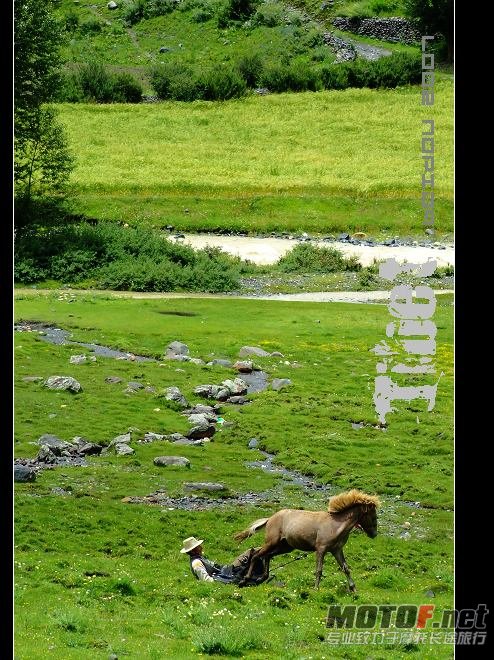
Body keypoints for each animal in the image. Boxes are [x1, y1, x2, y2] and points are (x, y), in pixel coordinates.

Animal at [233, 488, 380, 592]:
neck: (335, 525)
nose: (374, 534)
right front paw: (315, 589)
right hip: (272, 543)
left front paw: (354, 589)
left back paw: (262, 578)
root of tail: (270, 519)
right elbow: (319, 570)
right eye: (373, 516)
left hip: (285, 547)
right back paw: (245, 580)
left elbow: (346, 568)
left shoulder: (337, 550)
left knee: (267, 556)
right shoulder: (321, 549)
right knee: (256, 555)